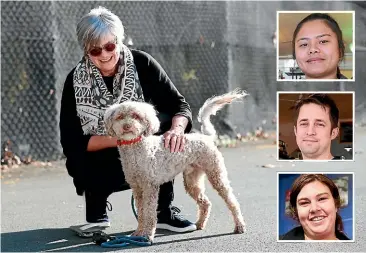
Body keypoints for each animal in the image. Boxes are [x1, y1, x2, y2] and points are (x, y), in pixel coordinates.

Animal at [105, 89, 249, 241]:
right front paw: (138, 233)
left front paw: (148, 235)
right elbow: (142, 213)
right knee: (205, 202)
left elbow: (149, 213)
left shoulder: (150, 187)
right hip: (192, 180)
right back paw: (199, 224)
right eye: (120, 116)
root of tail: (206, 137)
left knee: (232, 201)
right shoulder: (137, 188)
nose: (127, 126)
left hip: (216, 174)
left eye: (136, 116)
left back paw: (240, 226)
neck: (136, 148)